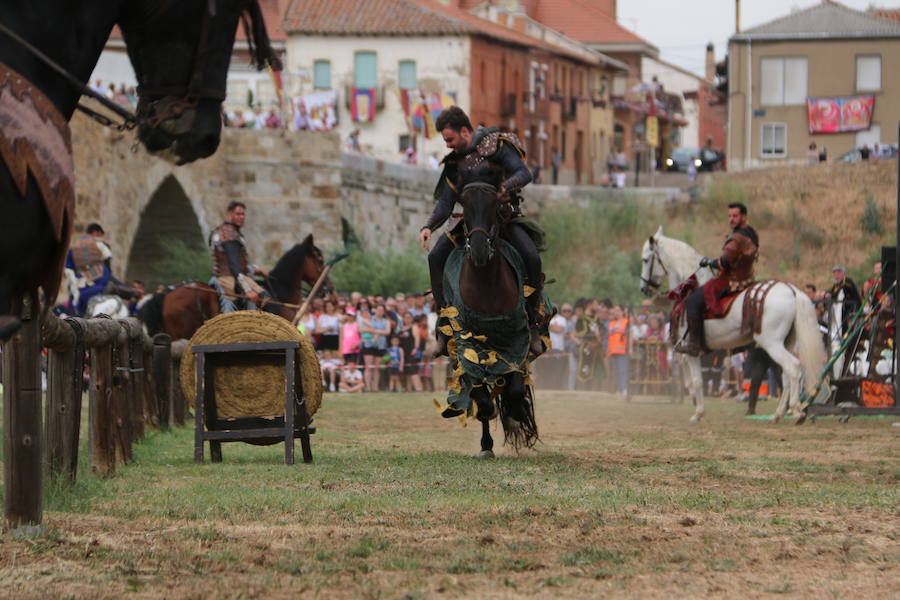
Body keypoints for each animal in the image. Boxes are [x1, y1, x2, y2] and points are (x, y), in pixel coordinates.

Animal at [454, 166, 536, 458]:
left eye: (493, 204)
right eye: (464, 203)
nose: (479, 249)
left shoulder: (518, 337)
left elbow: (514, 387)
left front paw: (516, 413)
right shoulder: (465, 340)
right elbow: (480, 394)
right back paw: (486, 444)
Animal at [636, 227, 828, 424]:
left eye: (645, 259)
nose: (644, 288)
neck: (688, 290)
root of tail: (792, 290)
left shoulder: (690, 351)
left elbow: (696, 381)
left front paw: (698, 413)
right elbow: (691, 380)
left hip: (771, 343)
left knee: (793, 367)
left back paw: (797, 411)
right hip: (786, 343)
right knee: (786, 375)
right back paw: (778, 414)